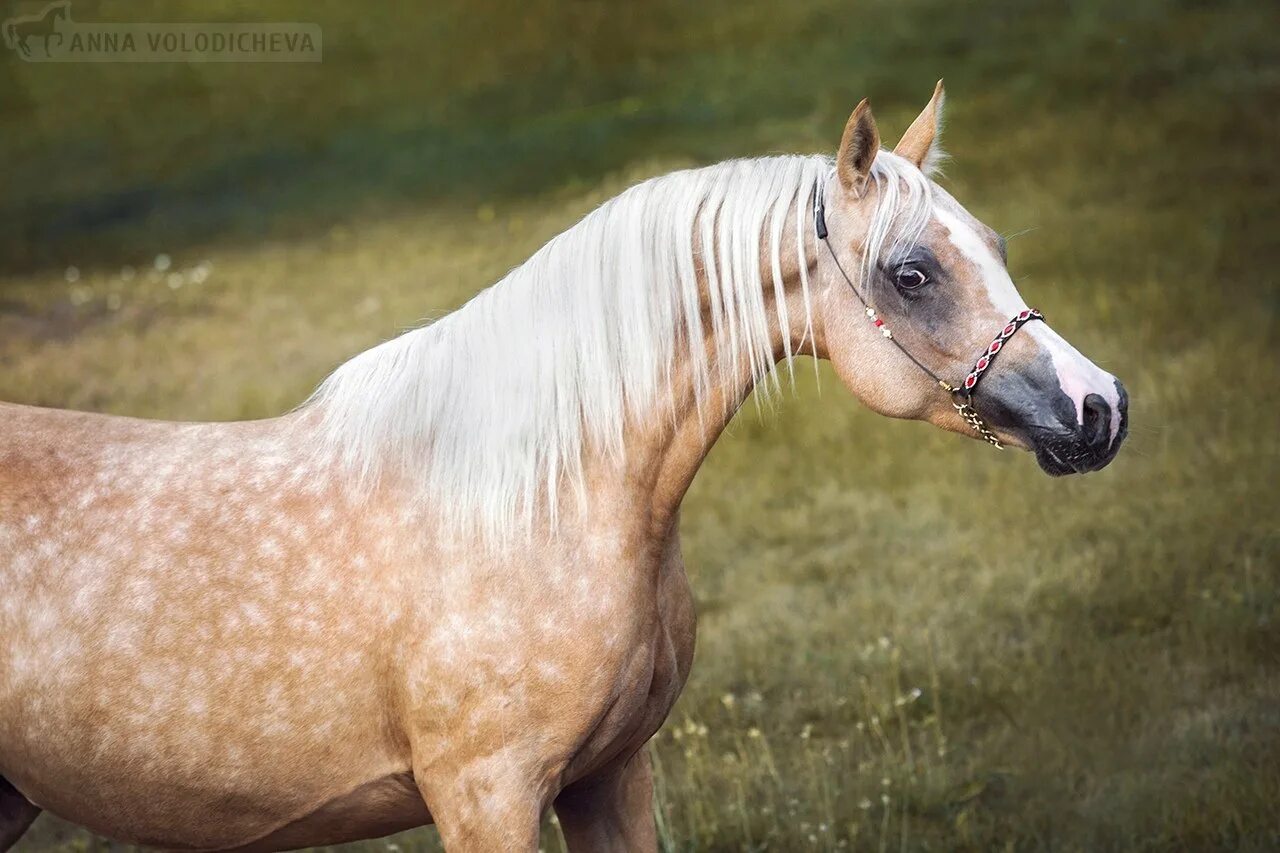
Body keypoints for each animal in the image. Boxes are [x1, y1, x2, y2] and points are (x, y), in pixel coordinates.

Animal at [0, 81, 1126, 850]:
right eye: (912, 272)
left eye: (993, 244)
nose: (1099, 408)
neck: (536, 505)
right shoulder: (487, 799)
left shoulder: (612, 778)